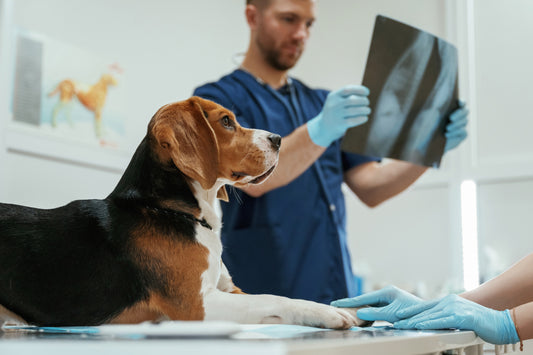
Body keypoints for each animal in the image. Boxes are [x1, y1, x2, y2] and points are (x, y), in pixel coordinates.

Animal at [0, 98, 366, 330]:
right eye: (226, 121)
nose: (278, 139)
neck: (173, 210)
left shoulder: (229, 291)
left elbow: (278, 296)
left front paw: (355, 306)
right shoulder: (197, 304)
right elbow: (277, 297)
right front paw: (326, 313)